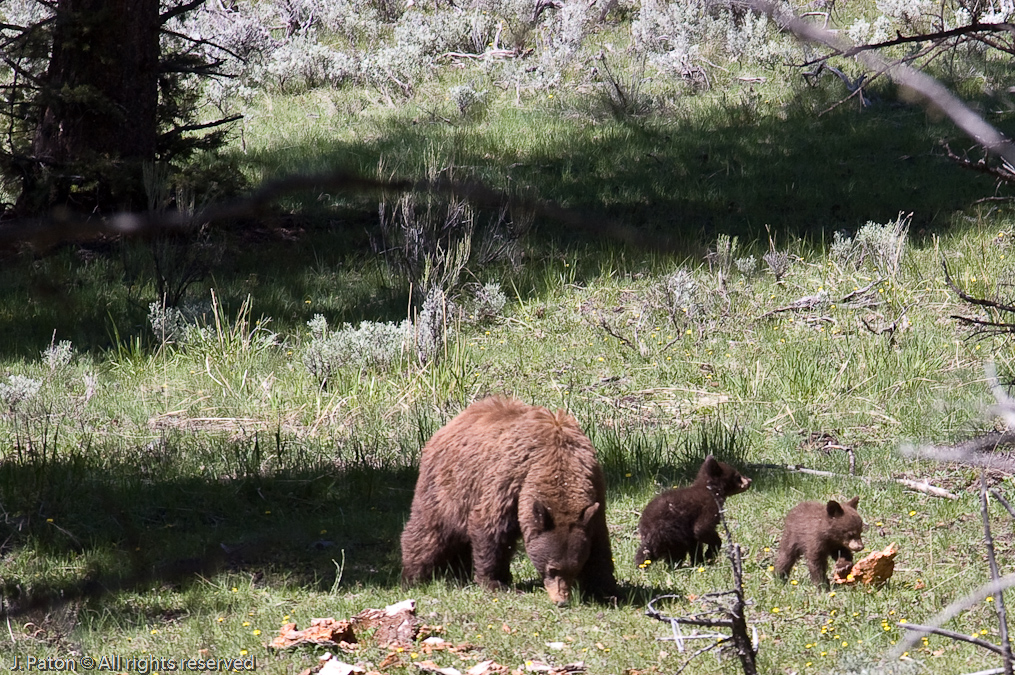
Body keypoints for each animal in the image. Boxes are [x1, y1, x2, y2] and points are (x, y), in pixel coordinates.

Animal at [400, 396, 618, 605]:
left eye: (575, 568)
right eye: (552, 569)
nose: (562, 601)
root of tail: (453, 422)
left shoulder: (595, 490)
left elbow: (599, 543)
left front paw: (605, 590)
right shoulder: (509, 480)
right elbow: (491, 528)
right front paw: (493, 582)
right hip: (448, 487)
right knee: (429, 531)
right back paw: (414, 576)